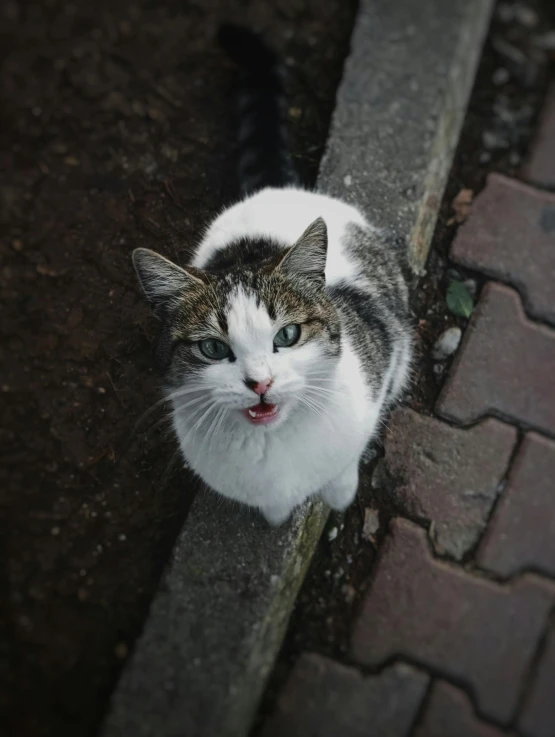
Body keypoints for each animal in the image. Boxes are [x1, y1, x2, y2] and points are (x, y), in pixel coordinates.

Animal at [134, 25, 412, 528]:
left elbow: (344, 464)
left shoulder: (380, 360)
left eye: (288, 335)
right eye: (212, 348)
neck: (271, 448)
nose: (259, 383)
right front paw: (277, 514)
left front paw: (340, 492)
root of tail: (276, 187)